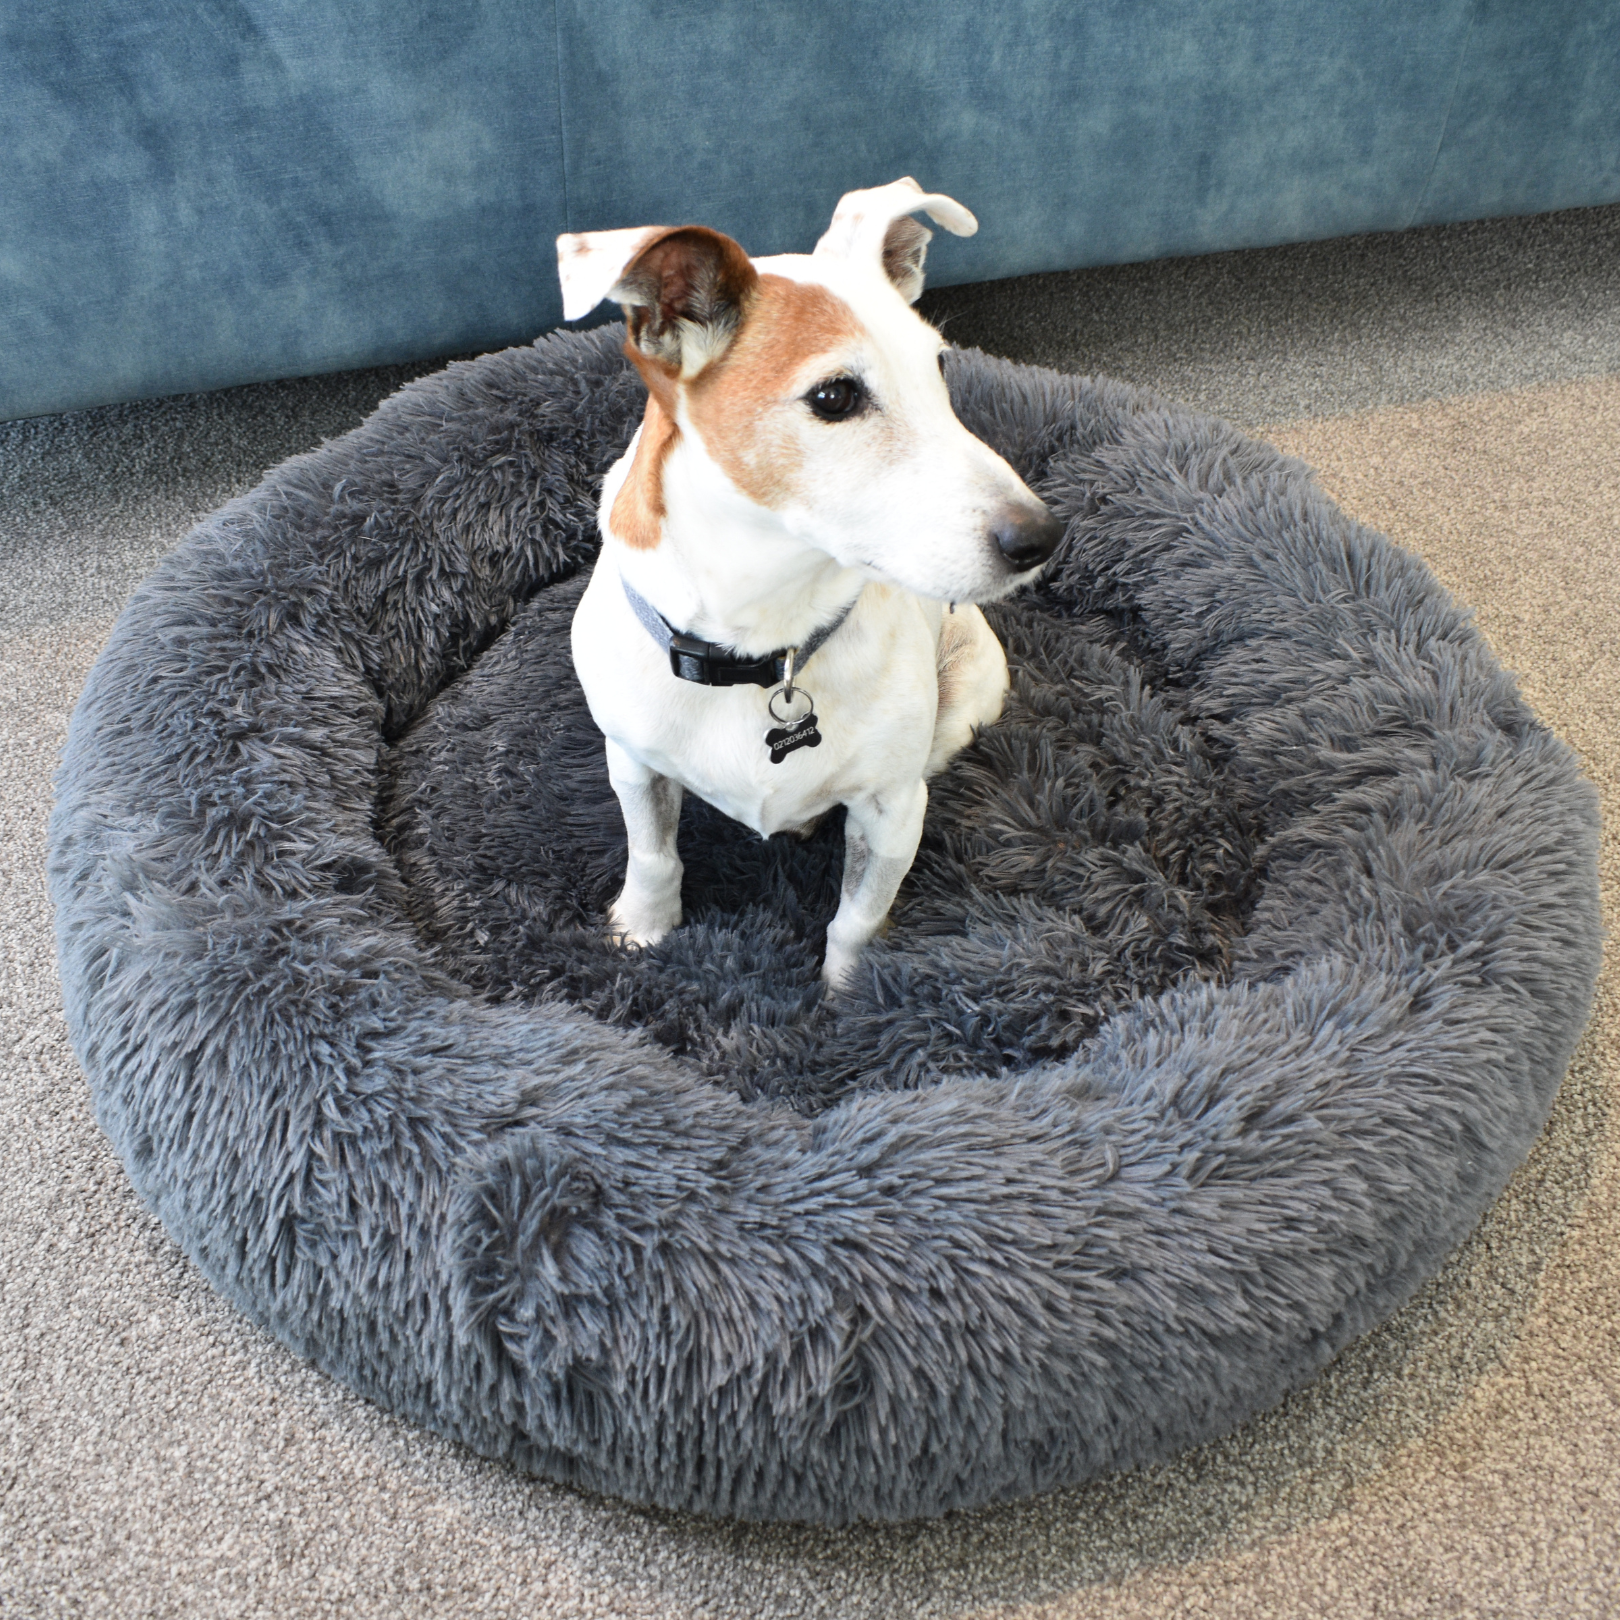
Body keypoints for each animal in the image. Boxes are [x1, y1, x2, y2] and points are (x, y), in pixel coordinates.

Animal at [557, 177, 1062, 984]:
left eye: (941, 369)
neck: (763, 635)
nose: (1041, 537)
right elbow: (654, 854)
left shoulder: (892, 811)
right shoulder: (633, 763)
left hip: (964, 703)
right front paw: (643, 929)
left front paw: (850, 997)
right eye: (834, 397)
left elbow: (856, 919)